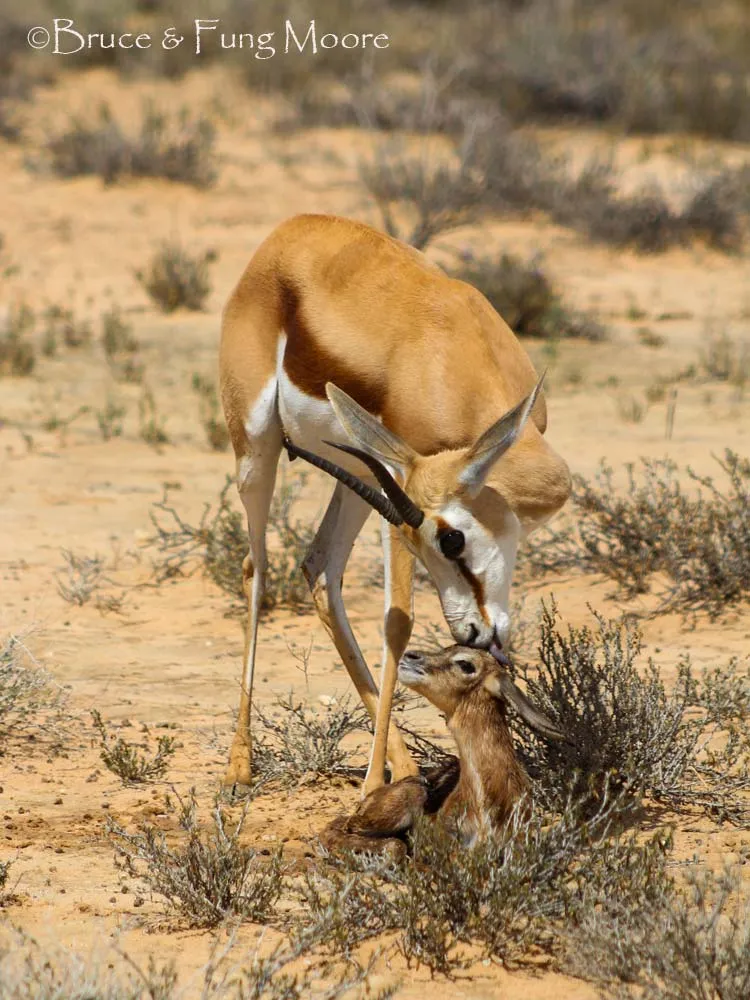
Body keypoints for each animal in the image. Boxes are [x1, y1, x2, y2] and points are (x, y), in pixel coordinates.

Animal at [220, 213, 572, 796]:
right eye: (450, 539)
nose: (471, 634)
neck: (452, 357)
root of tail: (289, 230)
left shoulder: (392, 485)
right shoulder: (399, 501)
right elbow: (396, 621)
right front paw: (368, 788)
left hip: (359, 474)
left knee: (320, 568)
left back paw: (402, 768)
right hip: (257, 448)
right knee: (256, 568)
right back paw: (239, 767)